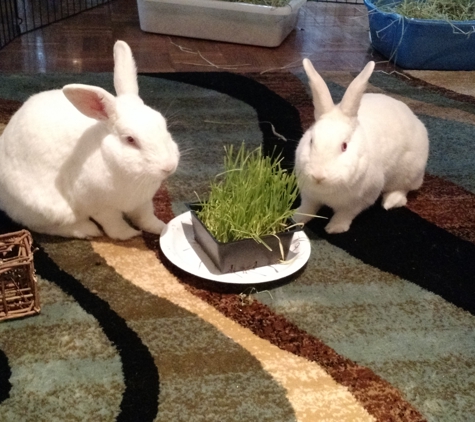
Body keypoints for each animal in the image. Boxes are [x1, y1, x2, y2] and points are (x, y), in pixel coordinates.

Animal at [0, 40, 180, 239]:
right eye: (130, 140)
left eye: (163, 125)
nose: (169, 167)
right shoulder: (100, 207)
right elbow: (114, 224)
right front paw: (130, 235)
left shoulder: (143, 202)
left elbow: (146, 217)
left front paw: (161, 227)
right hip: (47, 210)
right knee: (43, 226)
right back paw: (88, 230)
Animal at [296, 58, 430, 234]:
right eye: (311, 141)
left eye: (344, 146)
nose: (318, 176)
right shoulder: (309, 195)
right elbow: (308, 207)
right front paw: (297, 218)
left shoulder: (360, 201)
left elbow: (345, 215)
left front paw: (334, 229)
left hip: (408, 171)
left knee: (403, 189)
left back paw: (390, 201)